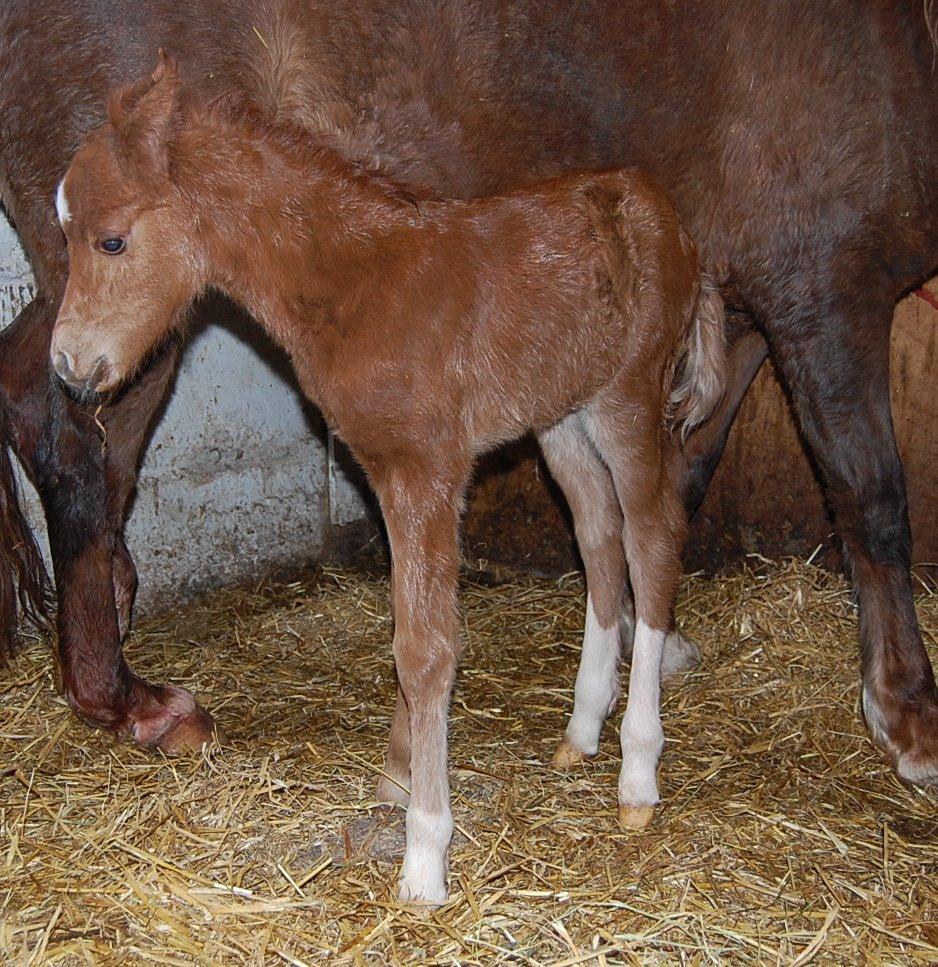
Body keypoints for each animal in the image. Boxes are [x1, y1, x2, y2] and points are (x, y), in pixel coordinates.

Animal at [0, 1, 935, 784]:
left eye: (114, 239)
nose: (80, 359)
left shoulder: (747, 319)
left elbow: (693, 485)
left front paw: (649, 639)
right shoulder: (820, 289)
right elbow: (872, 496)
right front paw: (908, 715)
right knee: (67, 432)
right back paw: (130, 696)